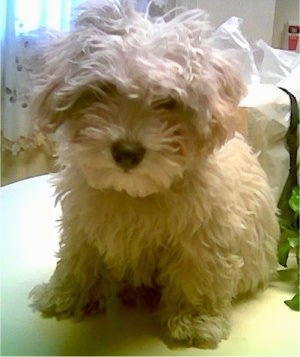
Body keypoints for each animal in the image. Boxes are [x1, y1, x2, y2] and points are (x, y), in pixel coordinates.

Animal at [29, 0, 278, 346]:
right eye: (103, 89)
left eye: (169, 101)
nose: (127, 151)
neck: (135, 194)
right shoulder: (83, 219)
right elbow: (79, 256)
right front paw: (67, 293)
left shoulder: (204, 232)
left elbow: (197, 272)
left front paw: (194, 319)